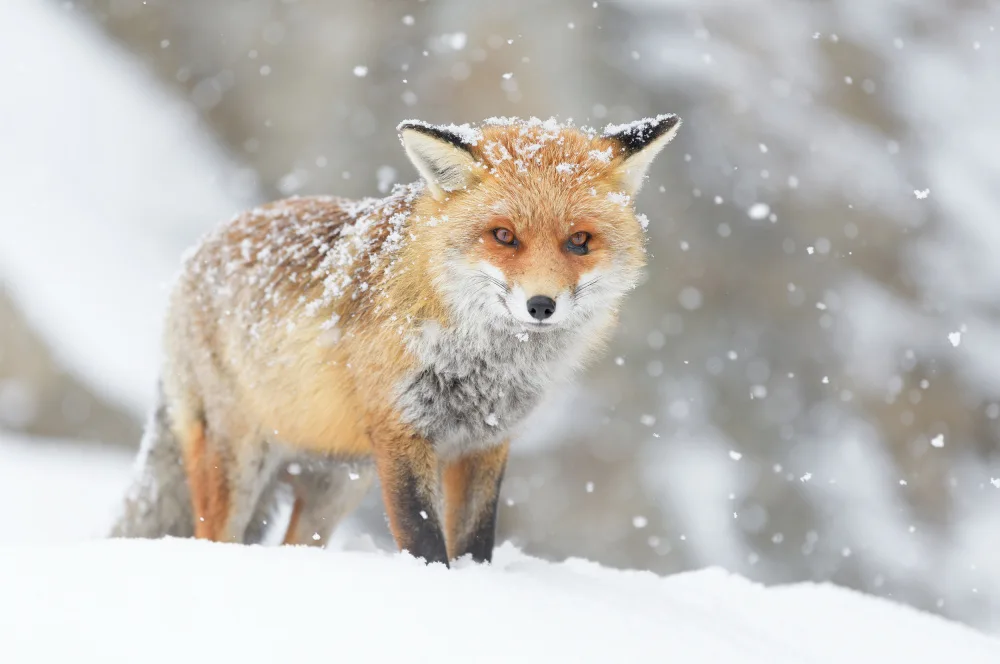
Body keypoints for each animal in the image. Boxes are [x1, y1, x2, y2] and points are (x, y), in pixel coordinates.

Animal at [110, 114, 681, 565]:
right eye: (503, 236)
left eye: (579, 241)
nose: (541, 305)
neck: (485, 368)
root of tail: (195, 257)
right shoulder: (403, 433)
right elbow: (424, 540)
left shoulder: (487, 443)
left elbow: (476, 541)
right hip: (238, 462)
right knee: (213, 537)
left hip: (338, 484)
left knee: (295, 543)